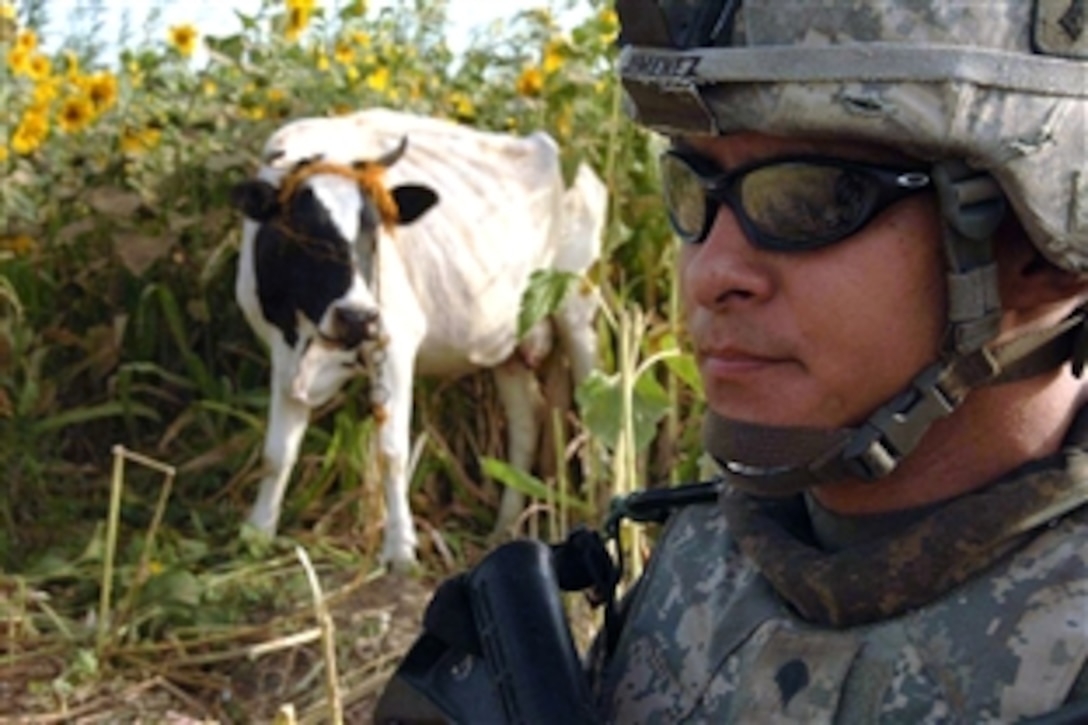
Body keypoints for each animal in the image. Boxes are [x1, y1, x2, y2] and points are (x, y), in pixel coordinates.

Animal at [231, 109, 604, 566]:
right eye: (302, 232)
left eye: (373, 229)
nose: (357, 316)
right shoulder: (283, 354)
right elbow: (277, 454)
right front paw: (257, 534)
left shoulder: (392, 346)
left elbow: (392, 452)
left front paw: (401, 550)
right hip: (506, 344)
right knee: (527, 420)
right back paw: (505, 528)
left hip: (578, 308)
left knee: (597, 406)